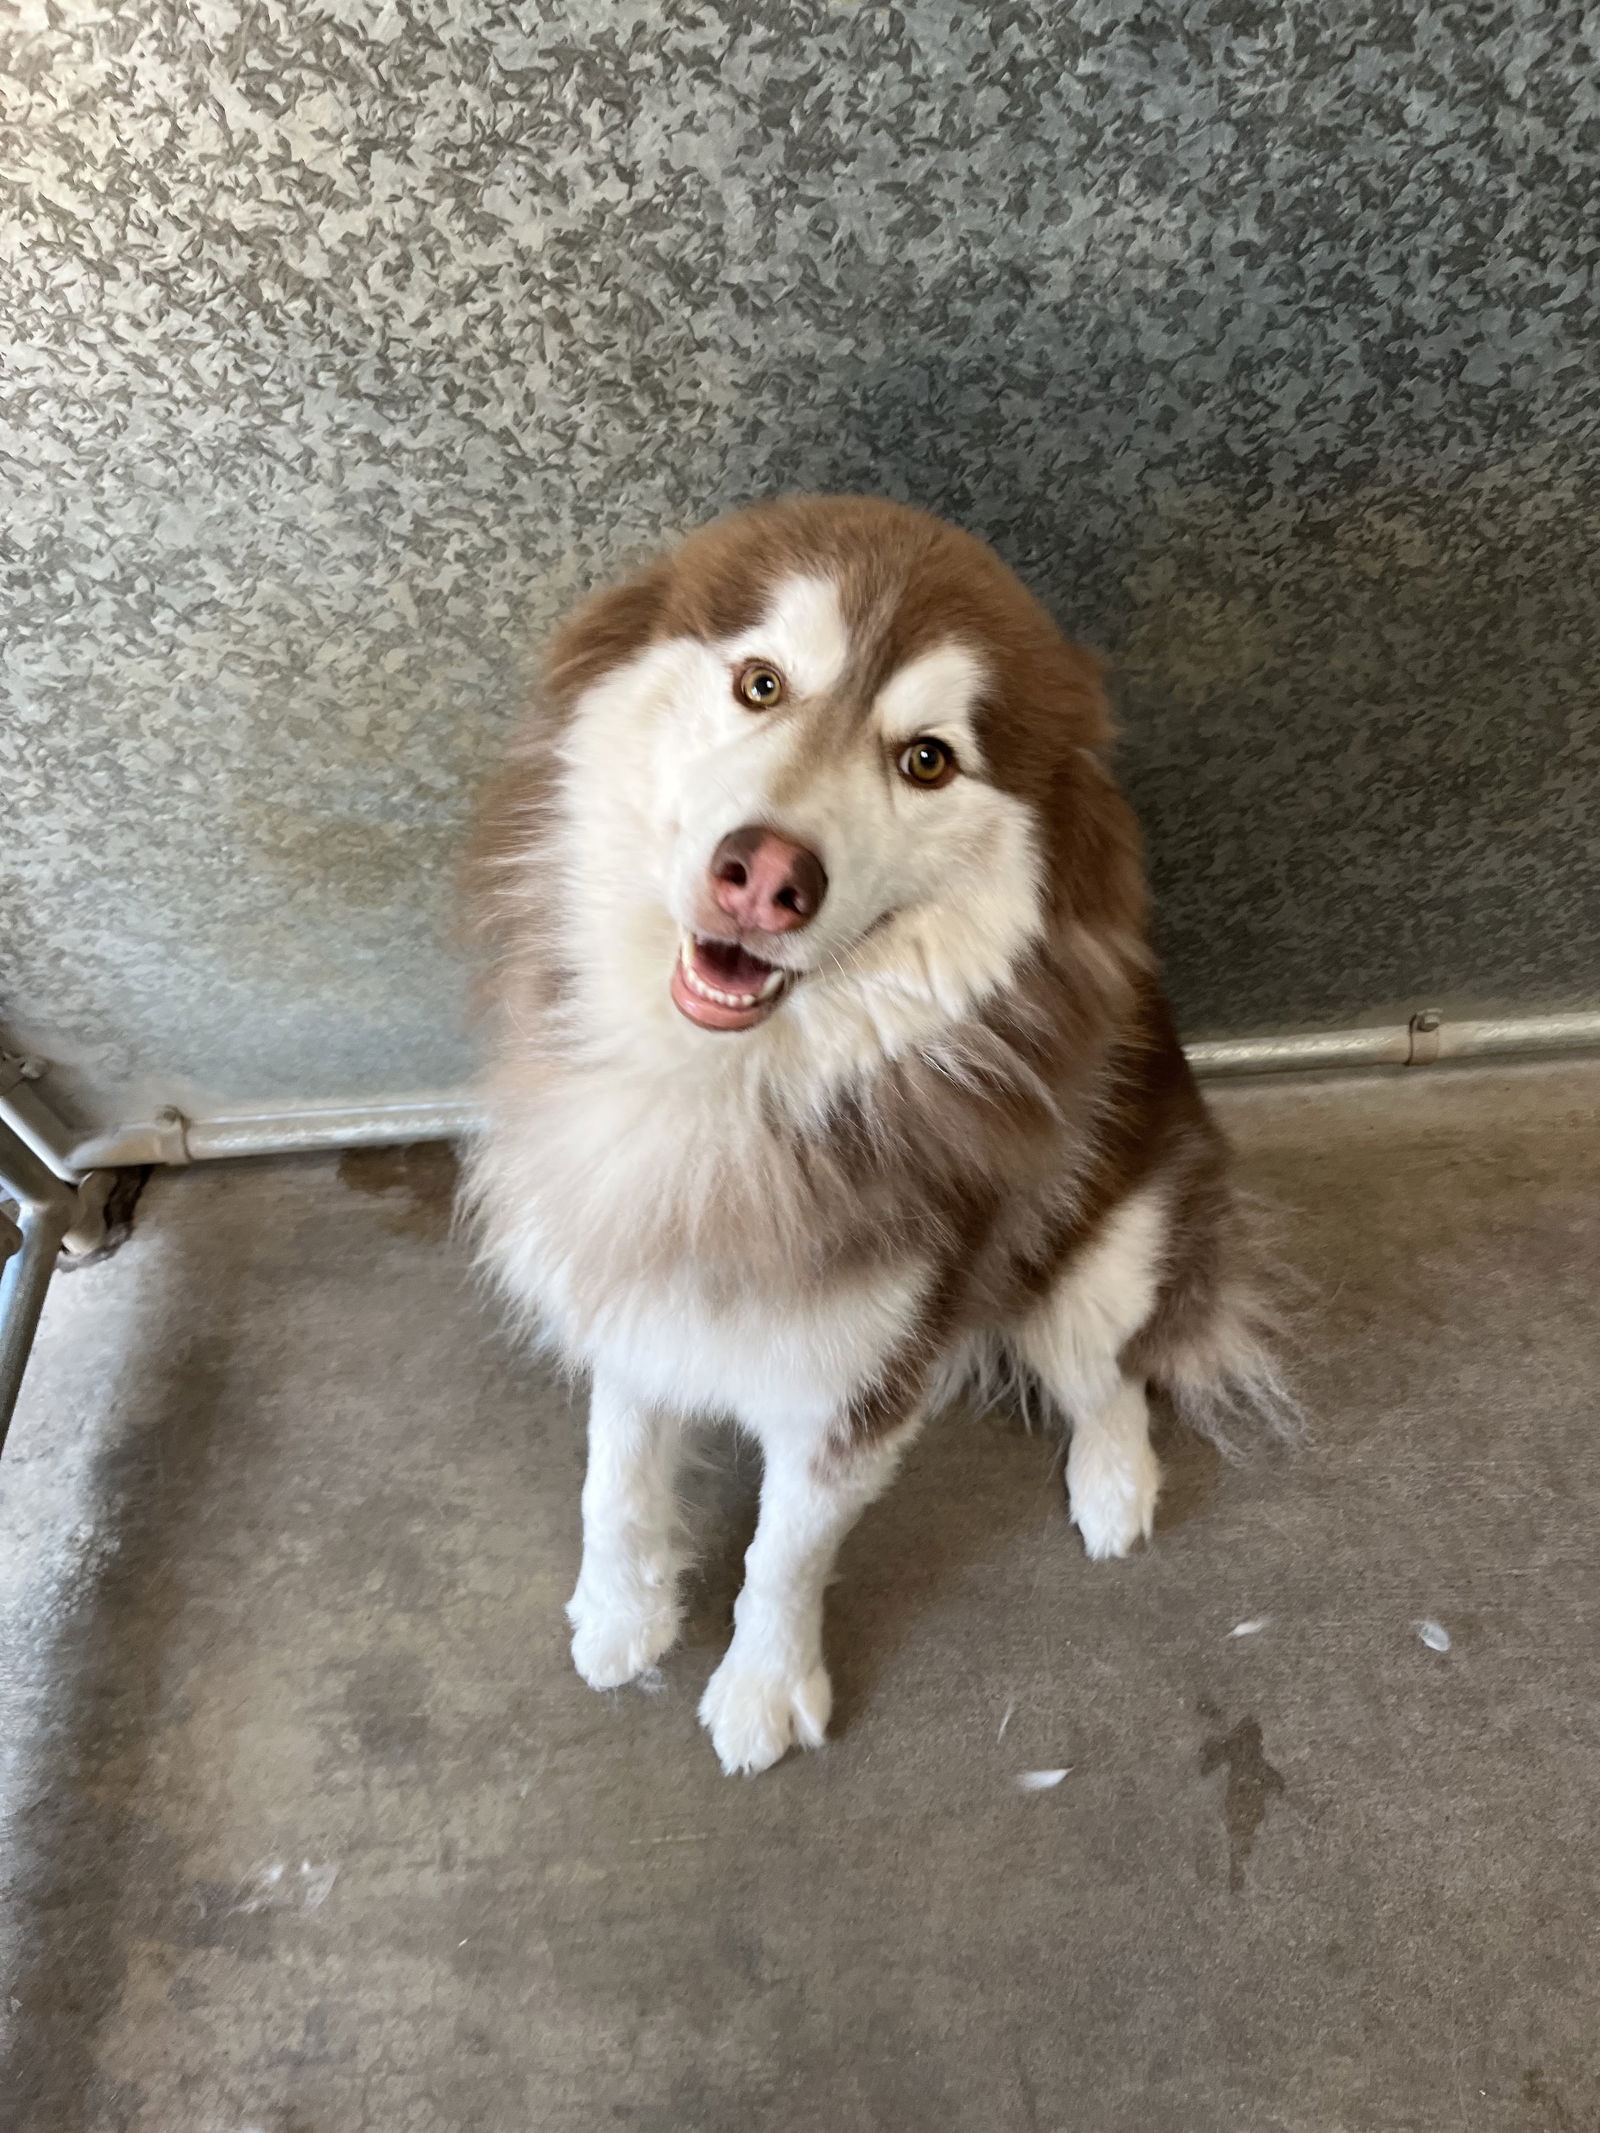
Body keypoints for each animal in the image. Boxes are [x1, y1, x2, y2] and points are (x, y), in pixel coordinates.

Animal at [462, 494, 1288, 1766]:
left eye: (926, 759)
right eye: (760, 683)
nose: (763, 877)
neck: (723, 1093)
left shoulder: (856, 1382)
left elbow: (784, 1555)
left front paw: (762, 1688)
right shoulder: (626, 1269)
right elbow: (615, 1474)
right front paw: (620, 1614)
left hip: (1108, 1250)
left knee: (1110, 1373)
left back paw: (1113, 1489)